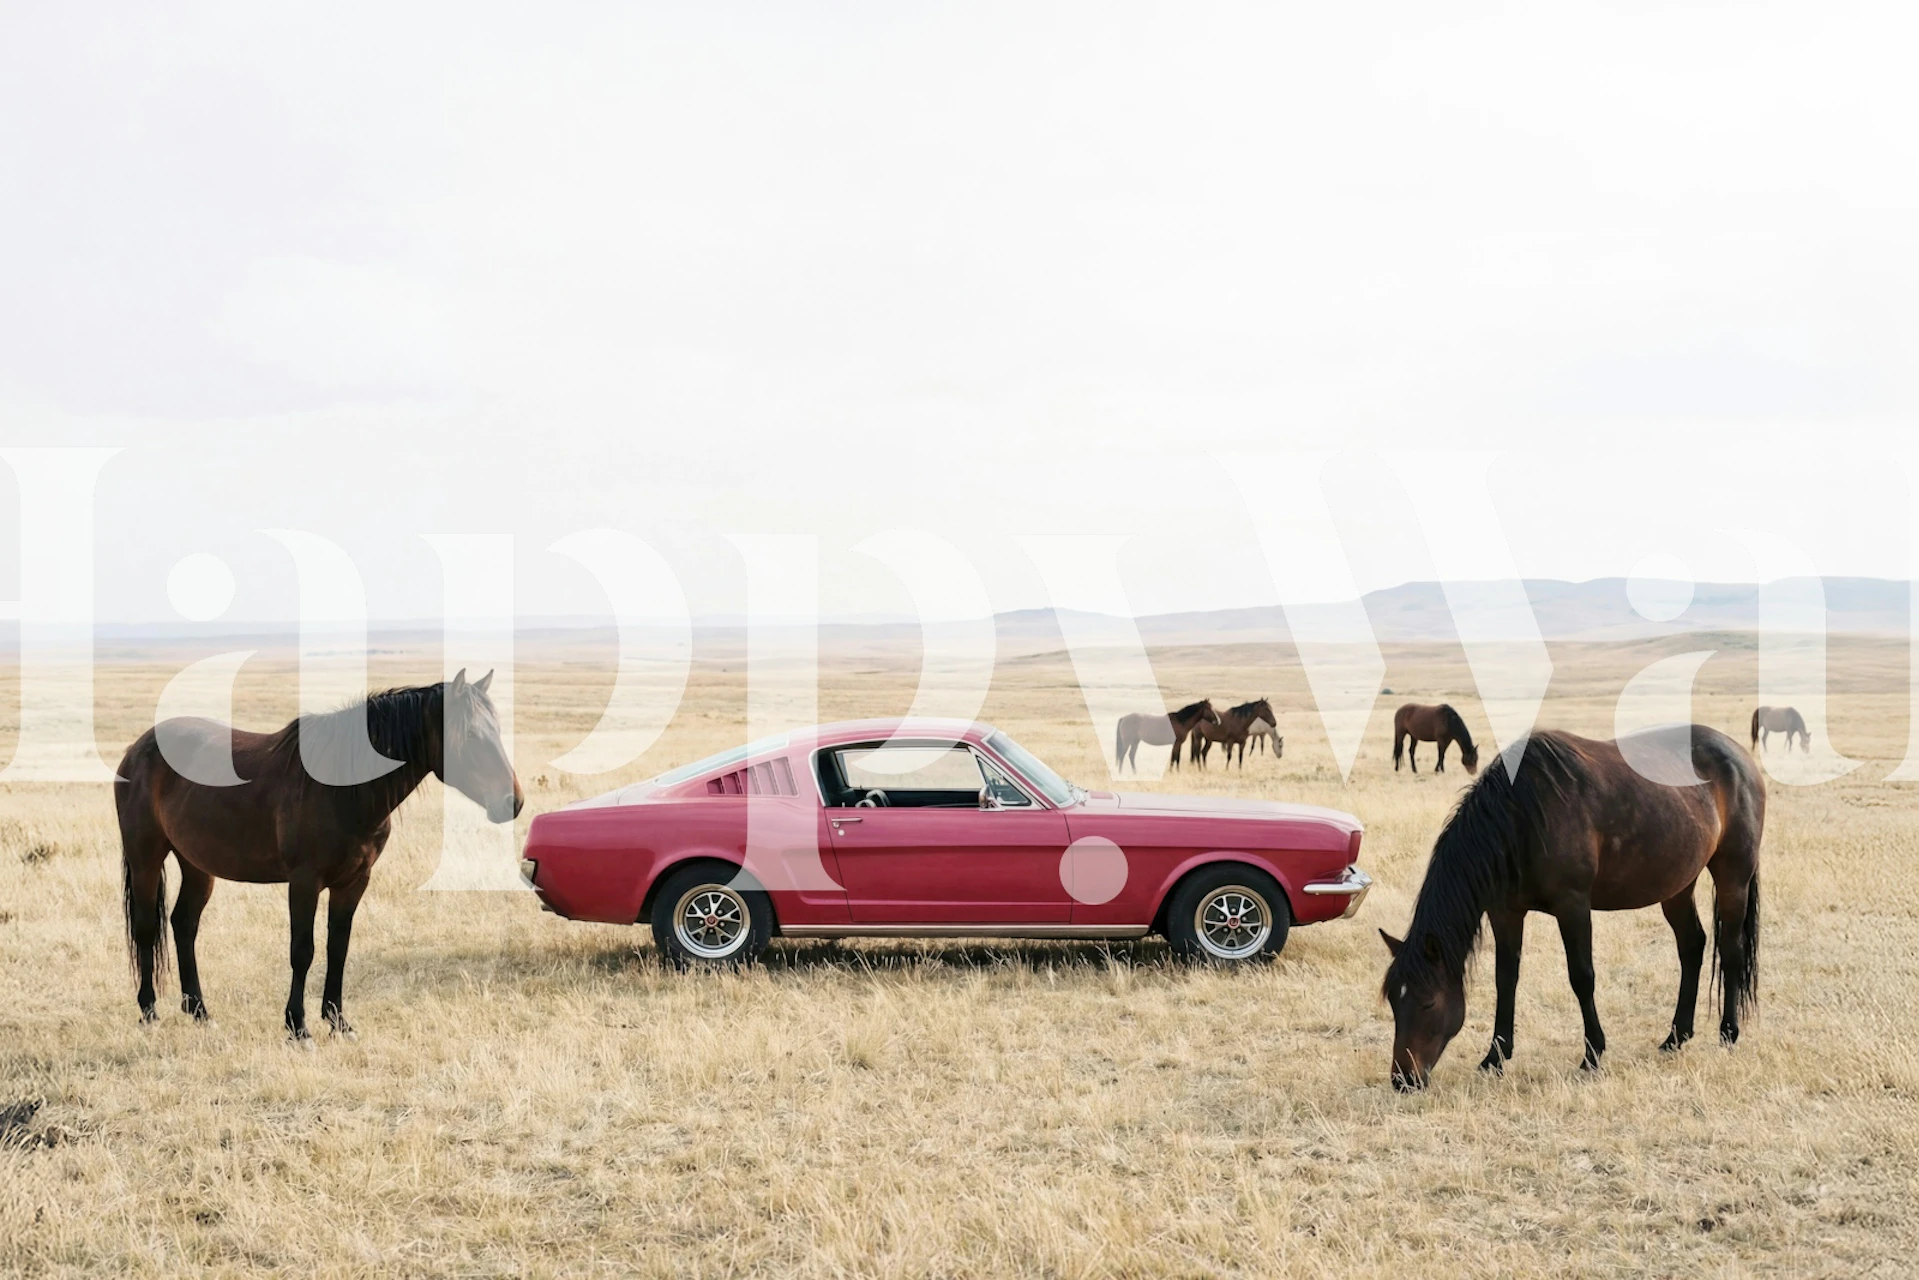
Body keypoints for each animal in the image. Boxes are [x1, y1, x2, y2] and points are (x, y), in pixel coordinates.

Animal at [115, 670, 522, 1043]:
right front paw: (298, 1026)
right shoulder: (304, 882)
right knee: (147, 927)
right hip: (146, 858)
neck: (341, 789)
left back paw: (199, 1011)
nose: (513, 802)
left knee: (183, 924)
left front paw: (339, 1022)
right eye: (471, 736)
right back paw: (149, 1011)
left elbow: (337, 948)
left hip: (197, 864)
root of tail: (138, 749)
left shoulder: (354, 882)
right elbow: (303, 950)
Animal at [1379, 724, 1763, 1090]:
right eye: (1394, 1002)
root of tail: (1740, 756)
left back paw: (1728, 1032)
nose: (1403, 1080)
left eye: (1428, 1002)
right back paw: (1676, 1036)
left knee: (1731, 949)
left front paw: (1592, 1054)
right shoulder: (1505, 912)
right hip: (1677, 884)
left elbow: (1582, 977)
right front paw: (1495, 1057)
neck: (1520, 817)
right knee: (1692, 946)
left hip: (1733, 875)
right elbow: (1506, 979)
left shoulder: (1573, 906)